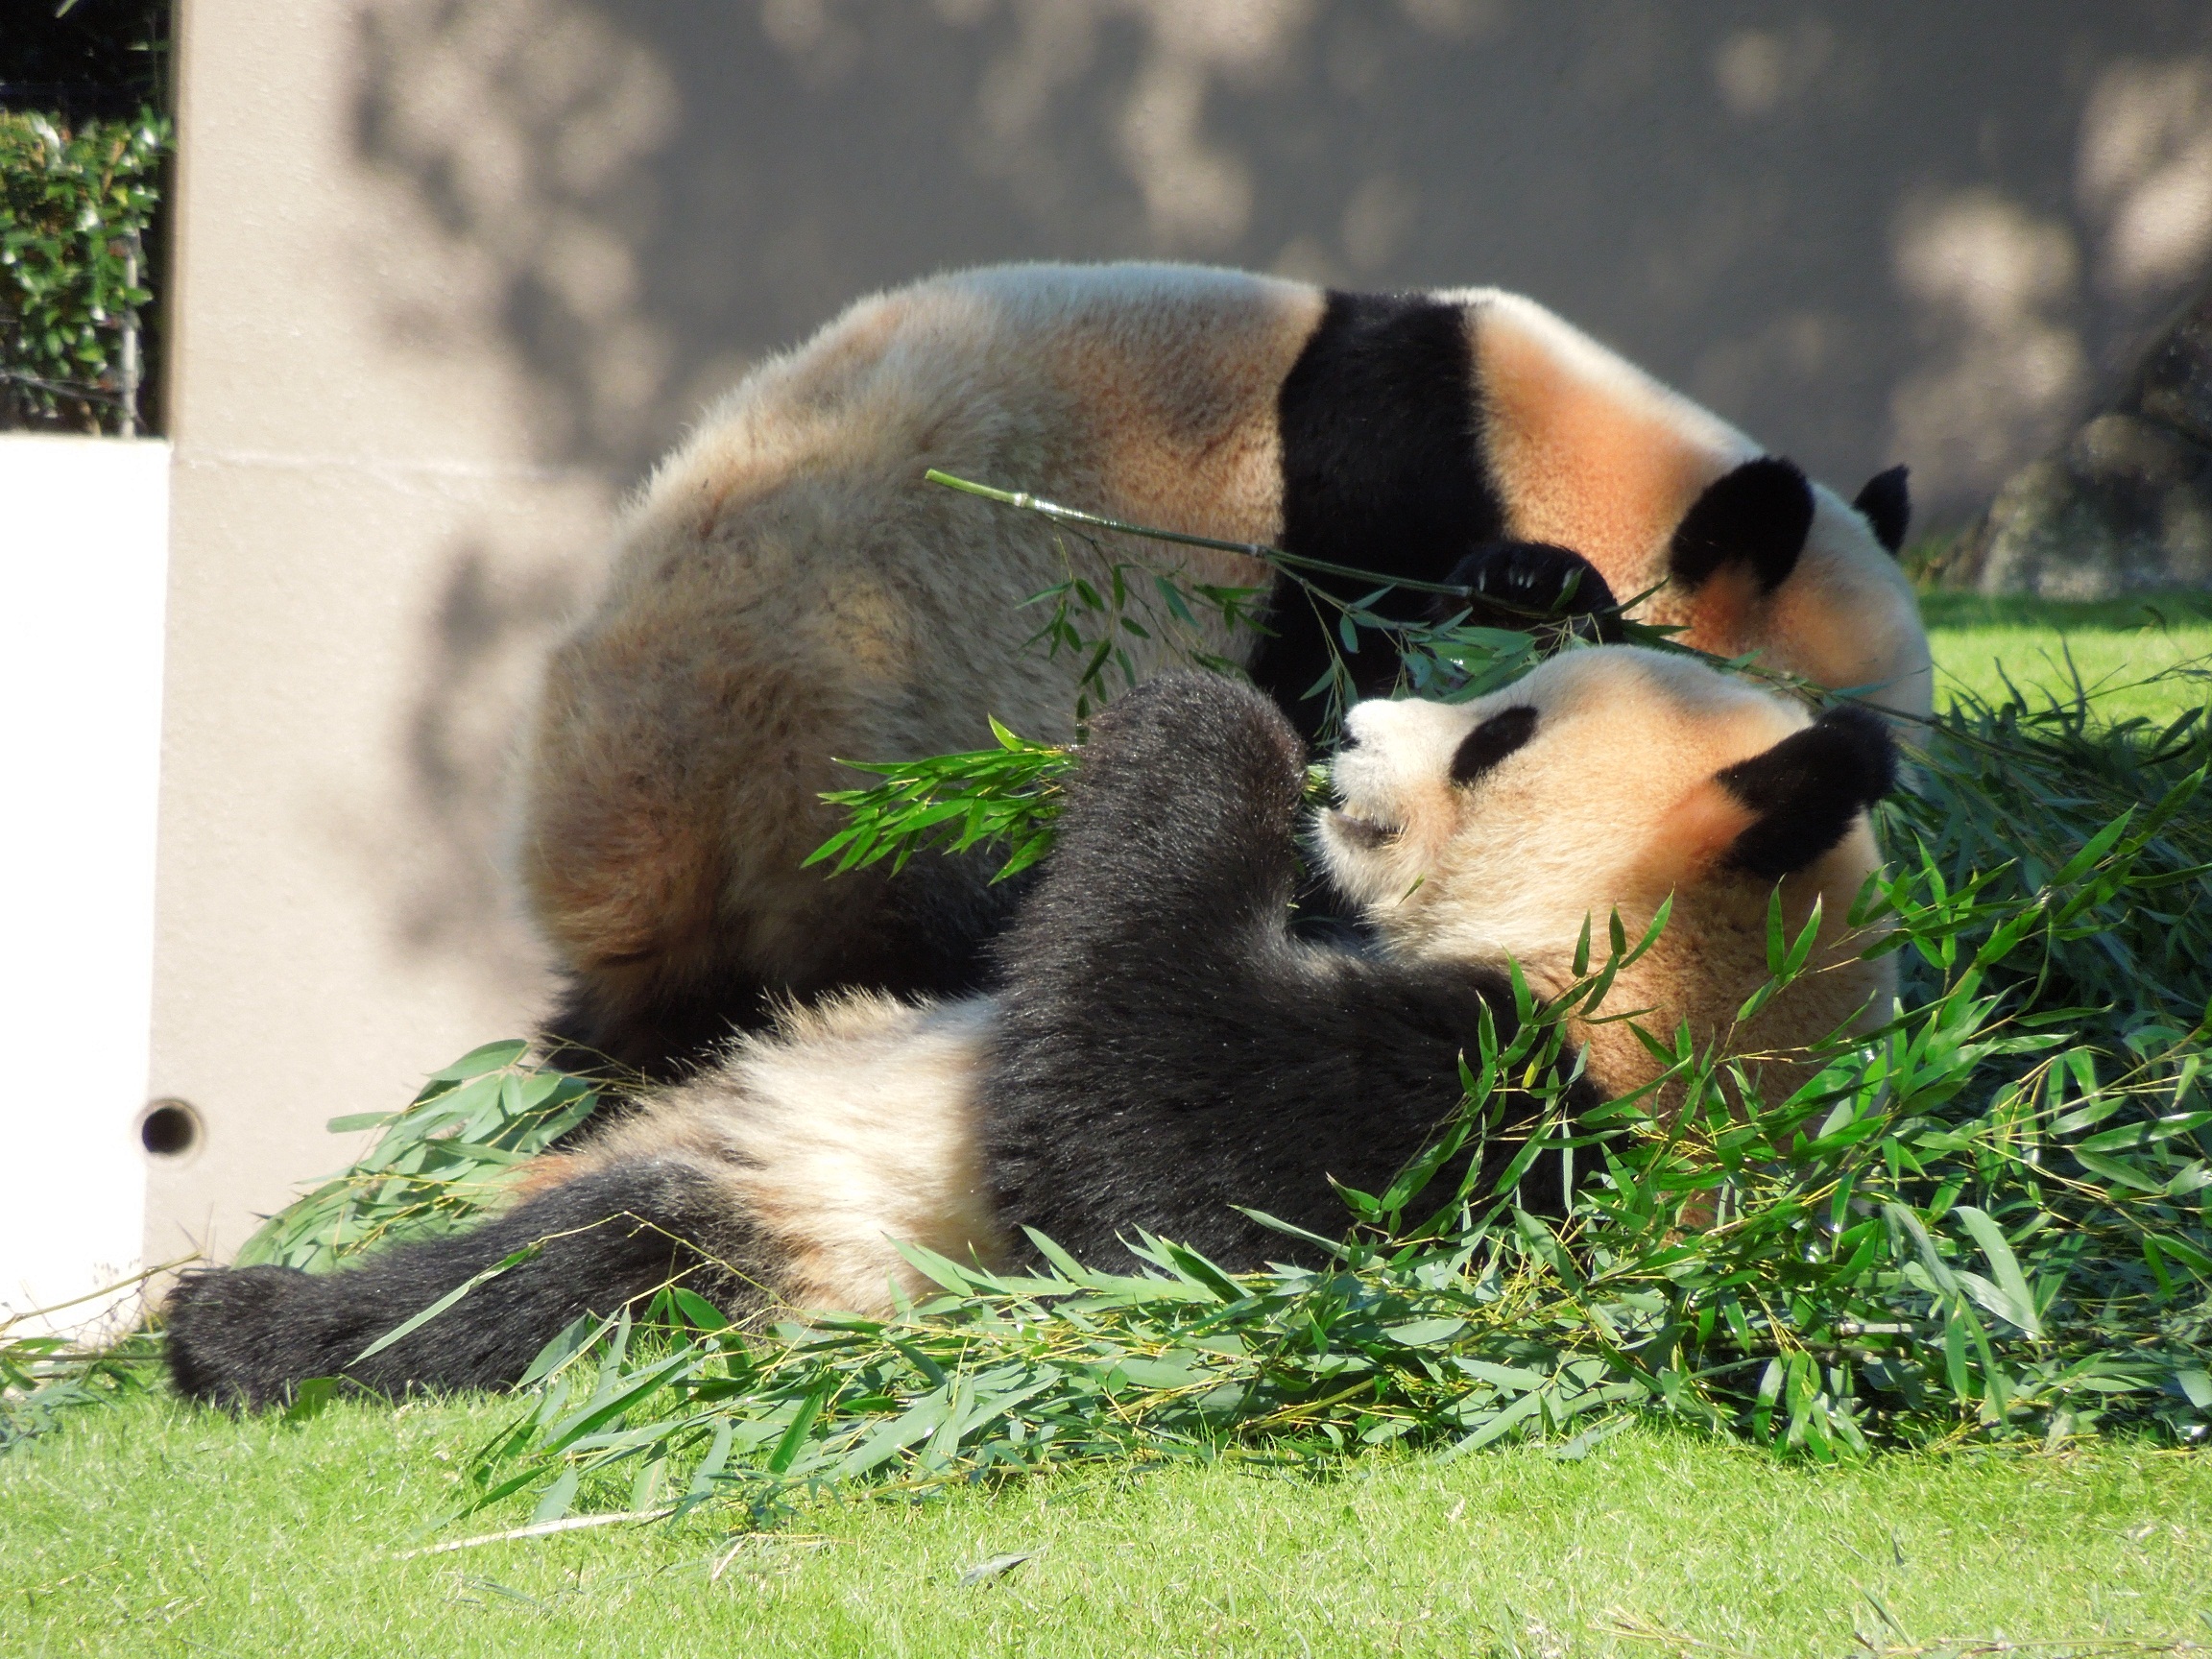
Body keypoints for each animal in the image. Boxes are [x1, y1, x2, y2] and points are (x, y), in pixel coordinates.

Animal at [168, 648, 1898, 1407]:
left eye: (1496, 736)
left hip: (784, 1245)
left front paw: (1209, 718)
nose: (1350, 724)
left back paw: (243, 1323)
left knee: (564, 1280)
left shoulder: (1503, 1104)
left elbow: (1152, 1171)